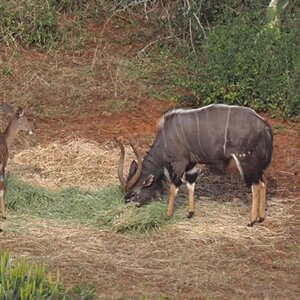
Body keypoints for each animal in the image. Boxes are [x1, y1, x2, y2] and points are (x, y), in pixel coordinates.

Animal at [115, 104, 274, 226]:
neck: (165, 141)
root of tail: (266, 127)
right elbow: (191, 183)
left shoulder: (180, 161)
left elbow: (174, 186)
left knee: (256, 185)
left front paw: (168, 214)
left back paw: (251, 221)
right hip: (255, 164)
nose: (127, 205)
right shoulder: (191, 163)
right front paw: (190, 213)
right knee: (264, 181)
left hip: (245, 160)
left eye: (133, 194)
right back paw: (261, 217)